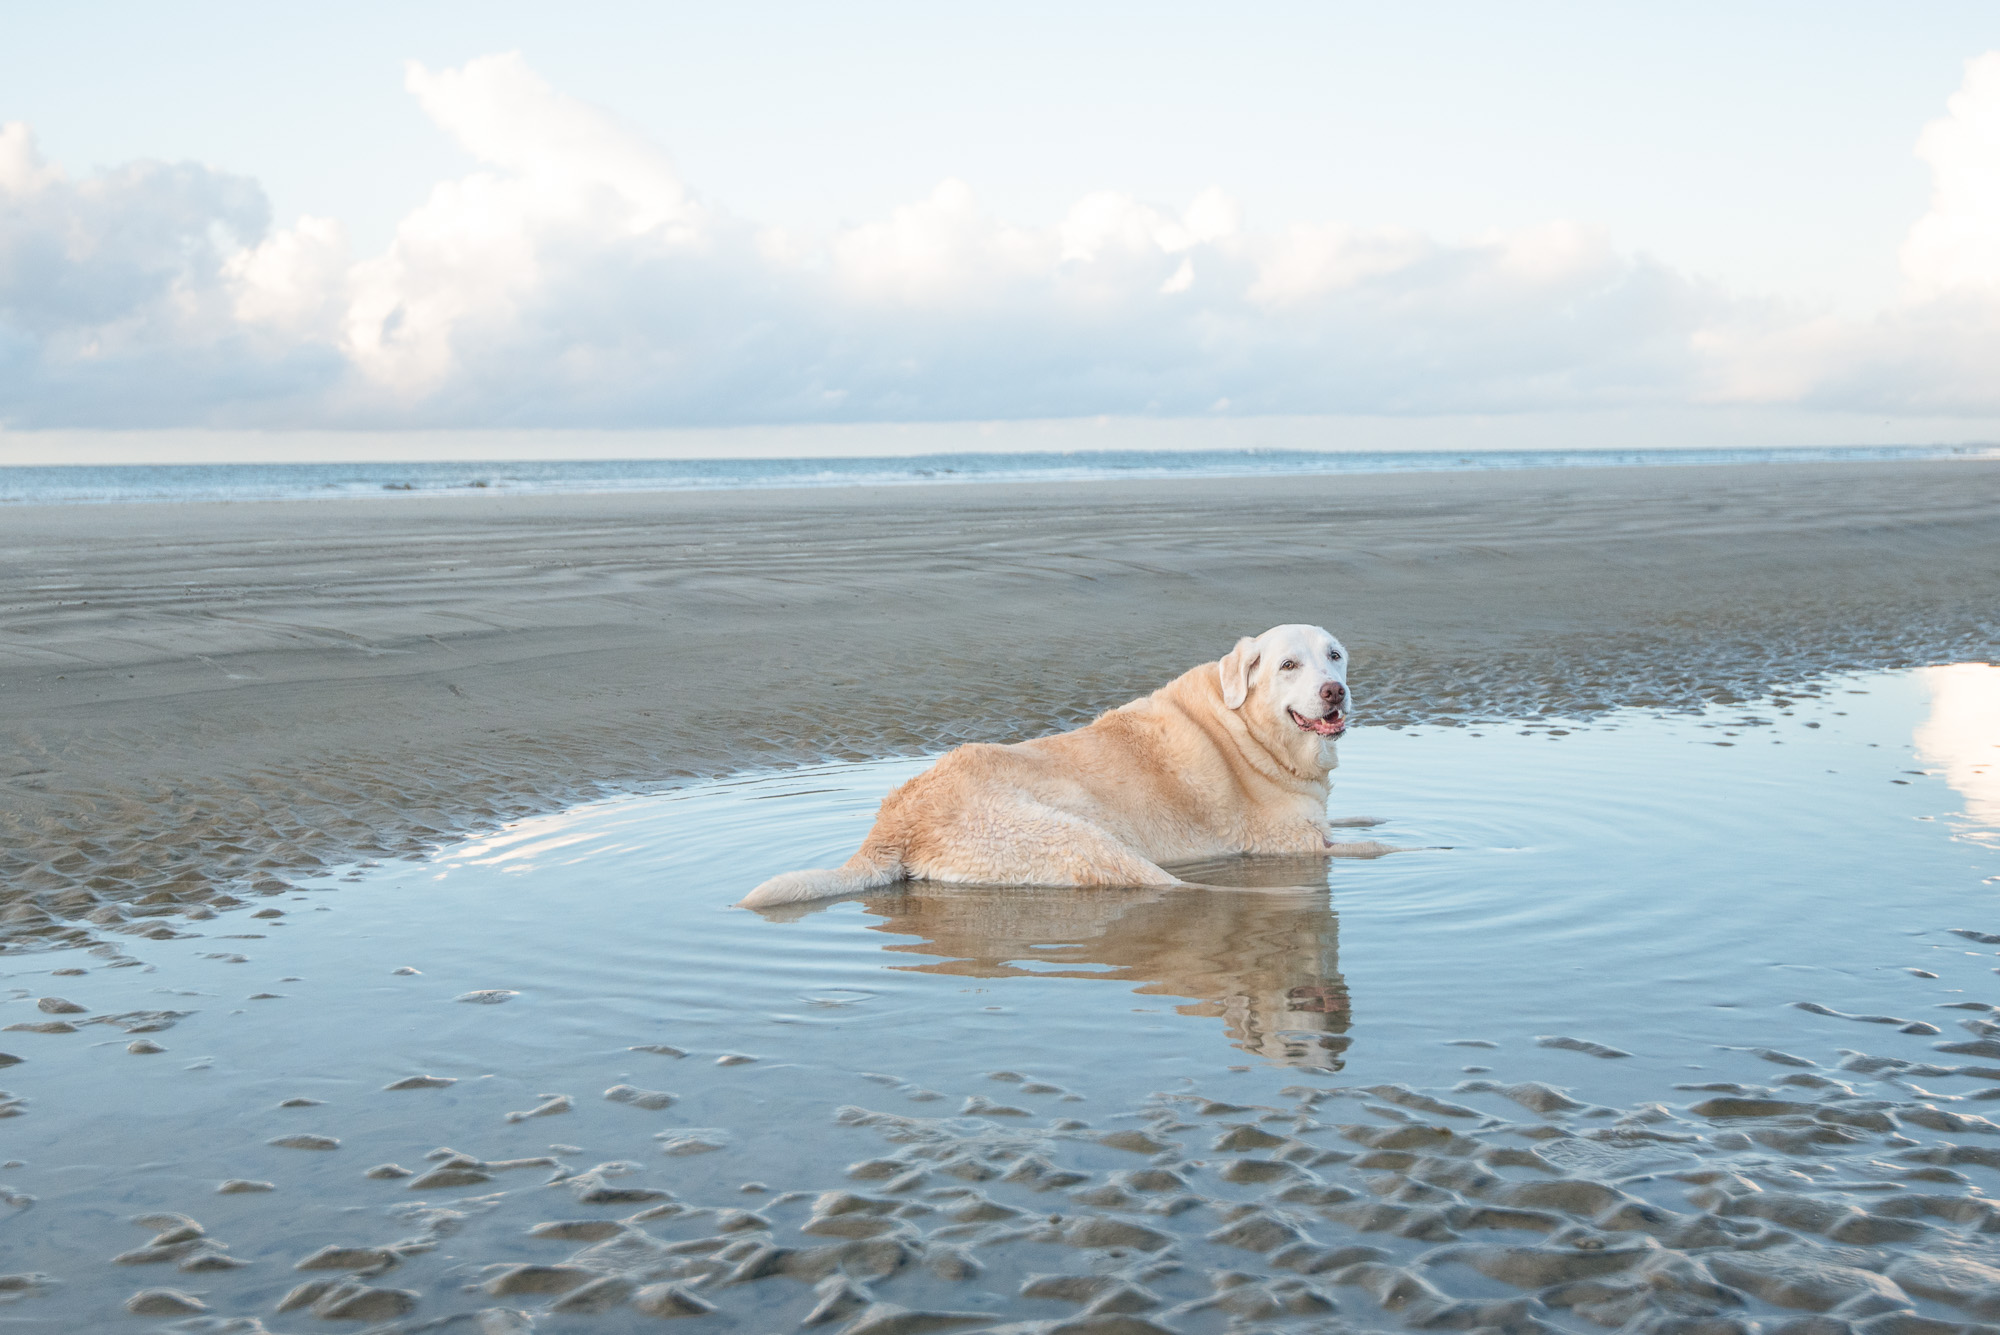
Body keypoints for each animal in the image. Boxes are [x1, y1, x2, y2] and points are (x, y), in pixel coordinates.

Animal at [740, 627, 1392, 907]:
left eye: (1335, 656)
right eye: (1288, 665)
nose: (1335, 691)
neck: (1253, 731)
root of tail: (893, 824)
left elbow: (1353, 822)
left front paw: (1372, 818)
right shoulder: (1291, 843)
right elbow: (1376, 847)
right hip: (1083, 840)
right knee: (1171, 885)